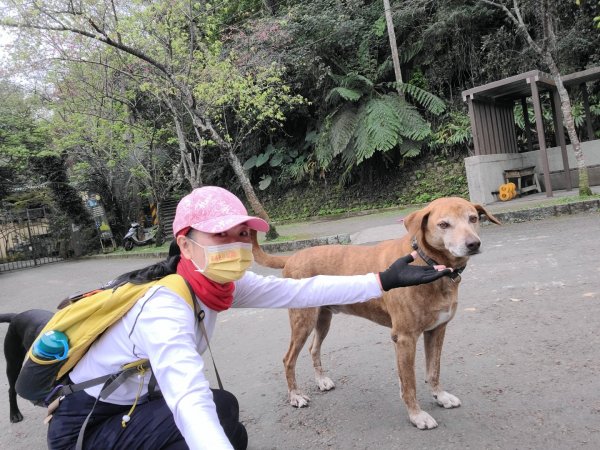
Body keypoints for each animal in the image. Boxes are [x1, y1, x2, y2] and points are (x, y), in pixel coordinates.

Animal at [251, 197, 500, 428]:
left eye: (473, 218)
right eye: (444, 224)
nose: (473, 244)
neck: (427, 262)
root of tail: (291, 257)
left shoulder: (437, 330)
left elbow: (433, 371)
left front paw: (440, 396)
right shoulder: (405, 337)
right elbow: (410, 383)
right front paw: (416, 415)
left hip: (323, 319)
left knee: (314, 348)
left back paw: (321, 380)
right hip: (303, 320)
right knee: (288, 359)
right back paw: (295, 395)